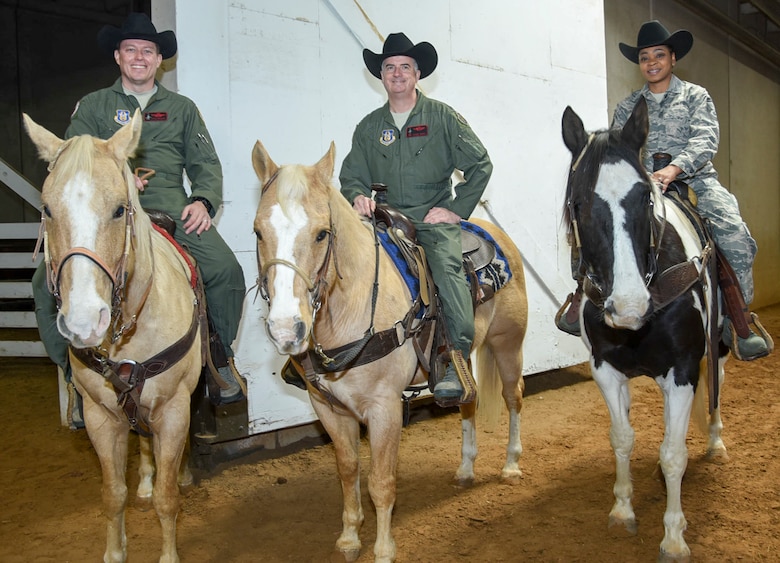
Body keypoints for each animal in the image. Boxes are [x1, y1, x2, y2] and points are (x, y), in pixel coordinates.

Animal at [25, 111, 201, 563]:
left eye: (120, 209)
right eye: (47, 209)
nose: (85, 321)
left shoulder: (174, 411)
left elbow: (168, 499)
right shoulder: (100, 418)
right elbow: (112, 495)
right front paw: (114, 551)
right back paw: (145, 478)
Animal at [253, 139, 528, 560]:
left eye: (321, 234)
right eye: (257, 231)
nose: (287, 330)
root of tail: (497, 235)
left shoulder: (384, 408)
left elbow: (381, 481)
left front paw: (383, 548)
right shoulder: (328, 408)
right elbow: (349, 470)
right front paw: (350, 536)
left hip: (507, 344)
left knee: (514, 397)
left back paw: (511, 465)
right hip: (463, 357)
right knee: (467, 402)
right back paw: (466, 469)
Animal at [560, 97, 732, 563]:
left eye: (644, 197)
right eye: (578, 203)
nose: (629, 306)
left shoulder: (683, 369)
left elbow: (673, 454)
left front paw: (673, 537)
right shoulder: (605, 369)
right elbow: (621, 438)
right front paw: (622, 510)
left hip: (717, 344)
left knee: (716, 382)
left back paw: (715, 441)